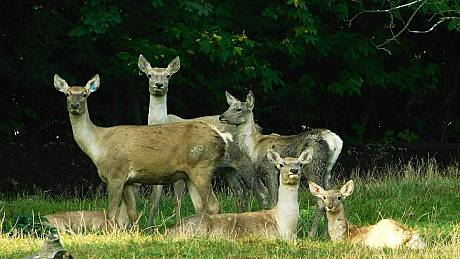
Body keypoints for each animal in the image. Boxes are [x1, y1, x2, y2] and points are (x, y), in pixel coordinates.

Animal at [54, 74, 232, 226]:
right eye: (67, 94)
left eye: (85, 94)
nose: (74, 106)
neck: (98, 146)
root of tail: (222, 137)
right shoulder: (128, 181)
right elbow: (132, 213)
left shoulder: (116, 173)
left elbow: (111, 214)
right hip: (189, 174)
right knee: (200, 207)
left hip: (202, 166)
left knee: (213, 205)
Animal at [138, 54, 272, 228]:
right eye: (149, 75)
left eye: (168, 76)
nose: (159, 85)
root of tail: (257, 128)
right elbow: (154, 200)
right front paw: (148, 228)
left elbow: (177, 199)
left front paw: (178, 225)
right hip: (227, 168)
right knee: (240, 191)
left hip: (246, 161)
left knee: (261, 192)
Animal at [165, 149, 312, 241]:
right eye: (281, 164)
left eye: (300, 164)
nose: (294, 170)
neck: (285, 226)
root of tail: (169, 231)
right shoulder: (268, 236)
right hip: (197, 229)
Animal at [217, 90, 344, 239]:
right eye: (229, 107)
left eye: (239, 109)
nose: (221, 116)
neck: (254, 147)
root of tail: (335, 140)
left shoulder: (269, 170)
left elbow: (273, 200)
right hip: (328, 171)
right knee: (328, 195)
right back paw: (325, 234)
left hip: (314, 166)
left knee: (320, 202)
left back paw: (311, 234)